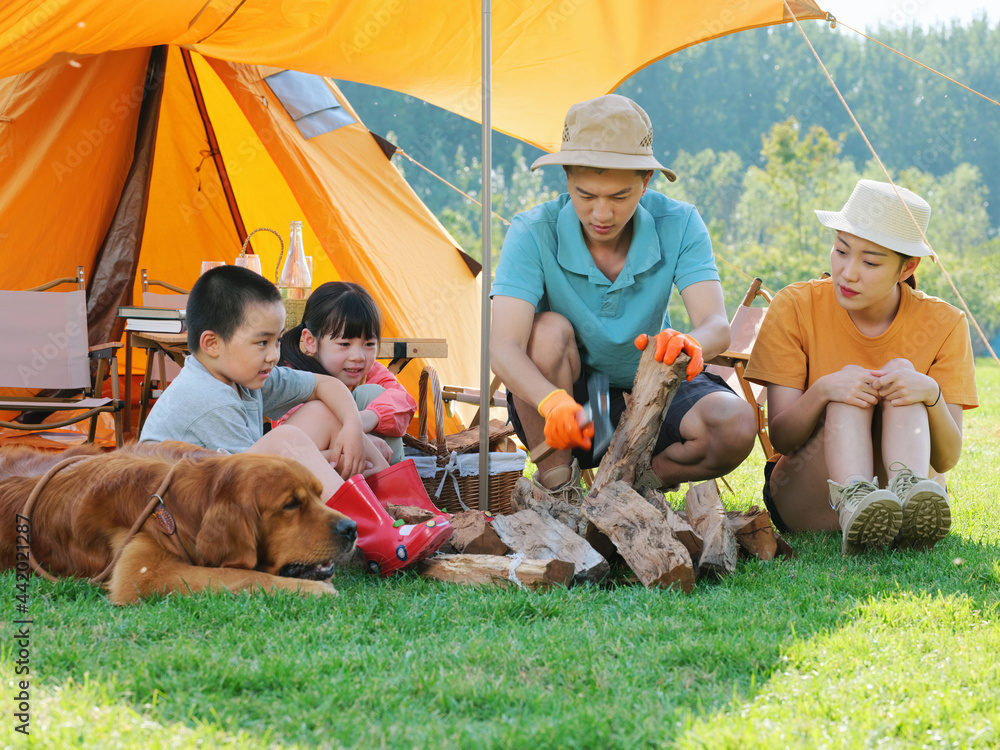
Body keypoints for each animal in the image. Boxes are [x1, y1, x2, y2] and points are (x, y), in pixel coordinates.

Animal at [0, 440, 358, 604]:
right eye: (291, 505)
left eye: (319, 494)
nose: (352, 528)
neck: (174, 507)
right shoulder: (143, 573)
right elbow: (240, 575)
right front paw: (313, 589)